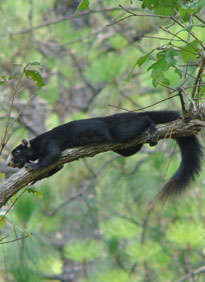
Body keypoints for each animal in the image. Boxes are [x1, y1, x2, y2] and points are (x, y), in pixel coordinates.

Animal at [6, 110, 202, 200]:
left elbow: (50, 157)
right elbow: (55, 168)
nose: (8, 163)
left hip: (122, 131)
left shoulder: (51, 143)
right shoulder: (58, 162)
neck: (37, 143)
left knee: (144, 119)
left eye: (17, 151)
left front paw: (32, 166)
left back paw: (152, 129)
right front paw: (34, 179)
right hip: (124, 147)